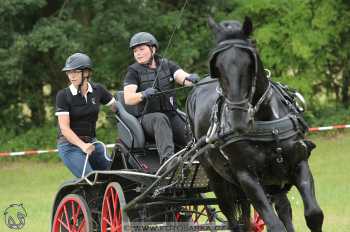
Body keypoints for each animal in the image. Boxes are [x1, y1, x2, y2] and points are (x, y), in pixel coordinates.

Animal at [187, 16, 324, 232]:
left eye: (250, 63)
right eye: (217, 67)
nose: (237, 119)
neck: (267, 122)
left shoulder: (299, 163)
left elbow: (313, 214)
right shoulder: (247, 177)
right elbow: (274, 224)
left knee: (276, 210)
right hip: (216, 177)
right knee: (232, 216)